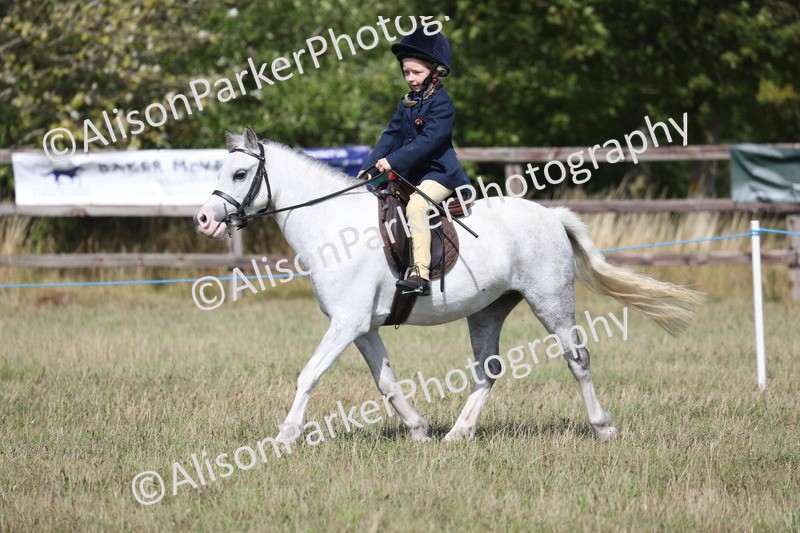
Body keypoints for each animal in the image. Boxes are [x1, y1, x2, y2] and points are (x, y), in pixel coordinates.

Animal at [194, 127, 702, 444]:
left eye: (240, 174)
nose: (204, 219)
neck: (331, 226)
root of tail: (551, 216)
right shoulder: (363, 327)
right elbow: (386, 381)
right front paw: (419, 429)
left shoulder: (346, 324)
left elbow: (310, 374)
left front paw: (284, 436)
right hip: (488, 310)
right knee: (488, 369)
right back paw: (458, 433)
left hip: (550, 301)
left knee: (577, 358)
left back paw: (602, 427)